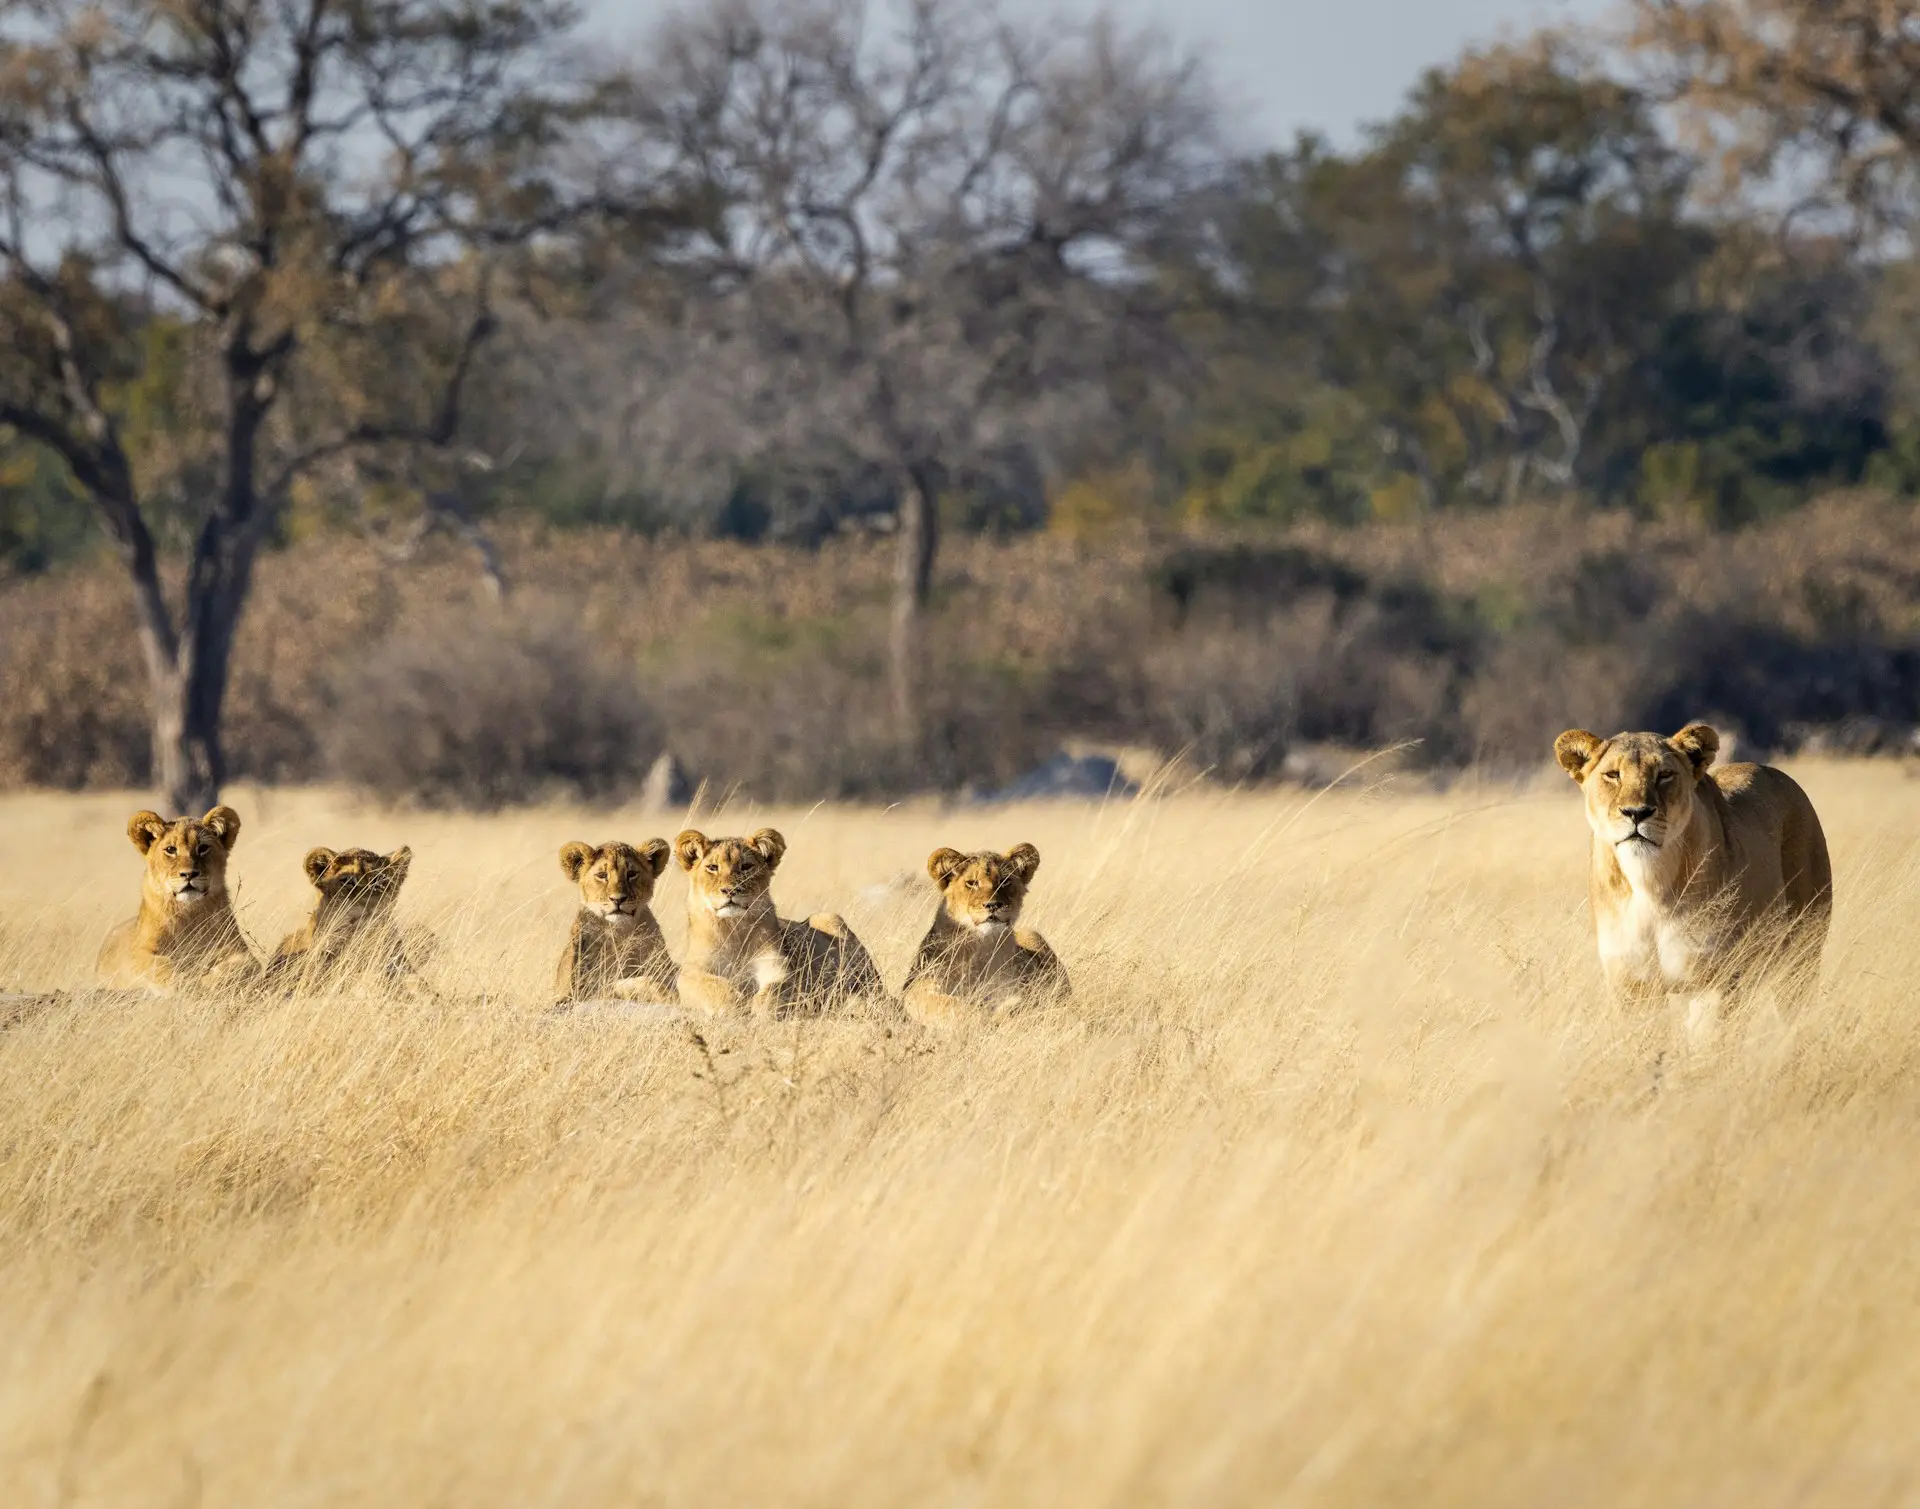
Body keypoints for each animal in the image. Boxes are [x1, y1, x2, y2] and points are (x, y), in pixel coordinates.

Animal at [98, 806, 260, 992]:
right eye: (170, 849)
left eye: (203, 848)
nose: (189, 874)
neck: (189, 913)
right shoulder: (139, 952)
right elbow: (160, 965)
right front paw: (185, 983)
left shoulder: (241, 951)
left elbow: (239, 967)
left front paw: (209, 981)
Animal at [673, 828, 885, 1017]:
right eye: (712, 867)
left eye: (746, 866)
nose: (731, 890)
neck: (734, 928)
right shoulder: (691, 972)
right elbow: (712, 985)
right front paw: (736, 1004)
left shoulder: (779, 968)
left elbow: (774, 989)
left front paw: (761, 1011)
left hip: (830, 920)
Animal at [902, 843, 1070, 1023]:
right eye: (972, 883)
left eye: (1005, 881)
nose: (993, 905)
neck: (982, 946)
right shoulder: (917, 987)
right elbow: (945, 1003)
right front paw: (980, 1016)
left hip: (1031, 934)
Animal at [1554, 722, 1831, 1026]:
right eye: (1613, 775)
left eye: (1664, 774)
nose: (1636, 813)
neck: (1648, 883)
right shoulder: (1632, 987)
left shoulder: (1713, 981)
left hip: (1801, 953)